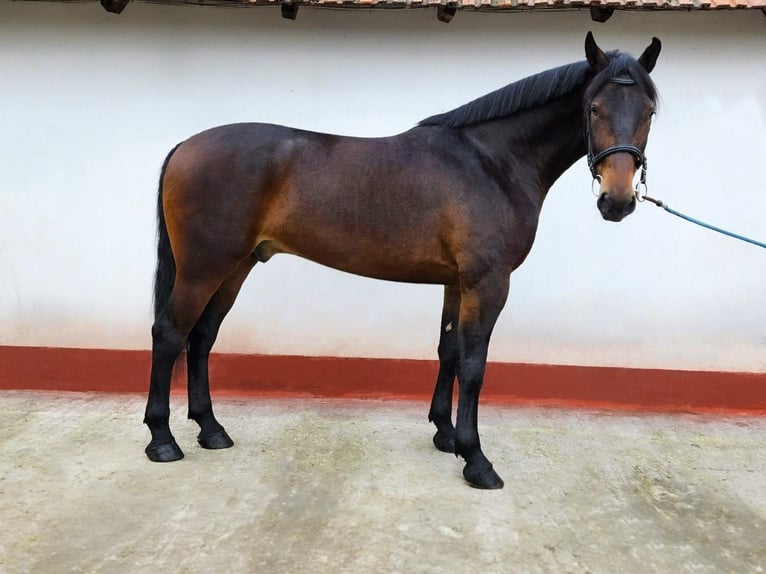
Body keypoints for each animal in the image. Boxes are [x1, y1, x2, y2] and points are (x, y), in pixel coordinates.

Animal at [143, 32, 661, 489]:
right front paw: (476, 459)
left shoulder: (457, 283)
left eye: (650, 112)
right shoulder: (487, 282)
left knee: (202, 337)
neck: (491, 163)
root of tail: (186, 146)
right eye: (594, 108)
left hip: (237, 266)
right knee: (170, 333)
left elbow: (449, 351)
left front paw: (445, 434)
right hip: (203, 267)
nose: (617, 201)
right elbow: (474, 362)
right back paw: (163, 440)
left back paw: (211, 430)